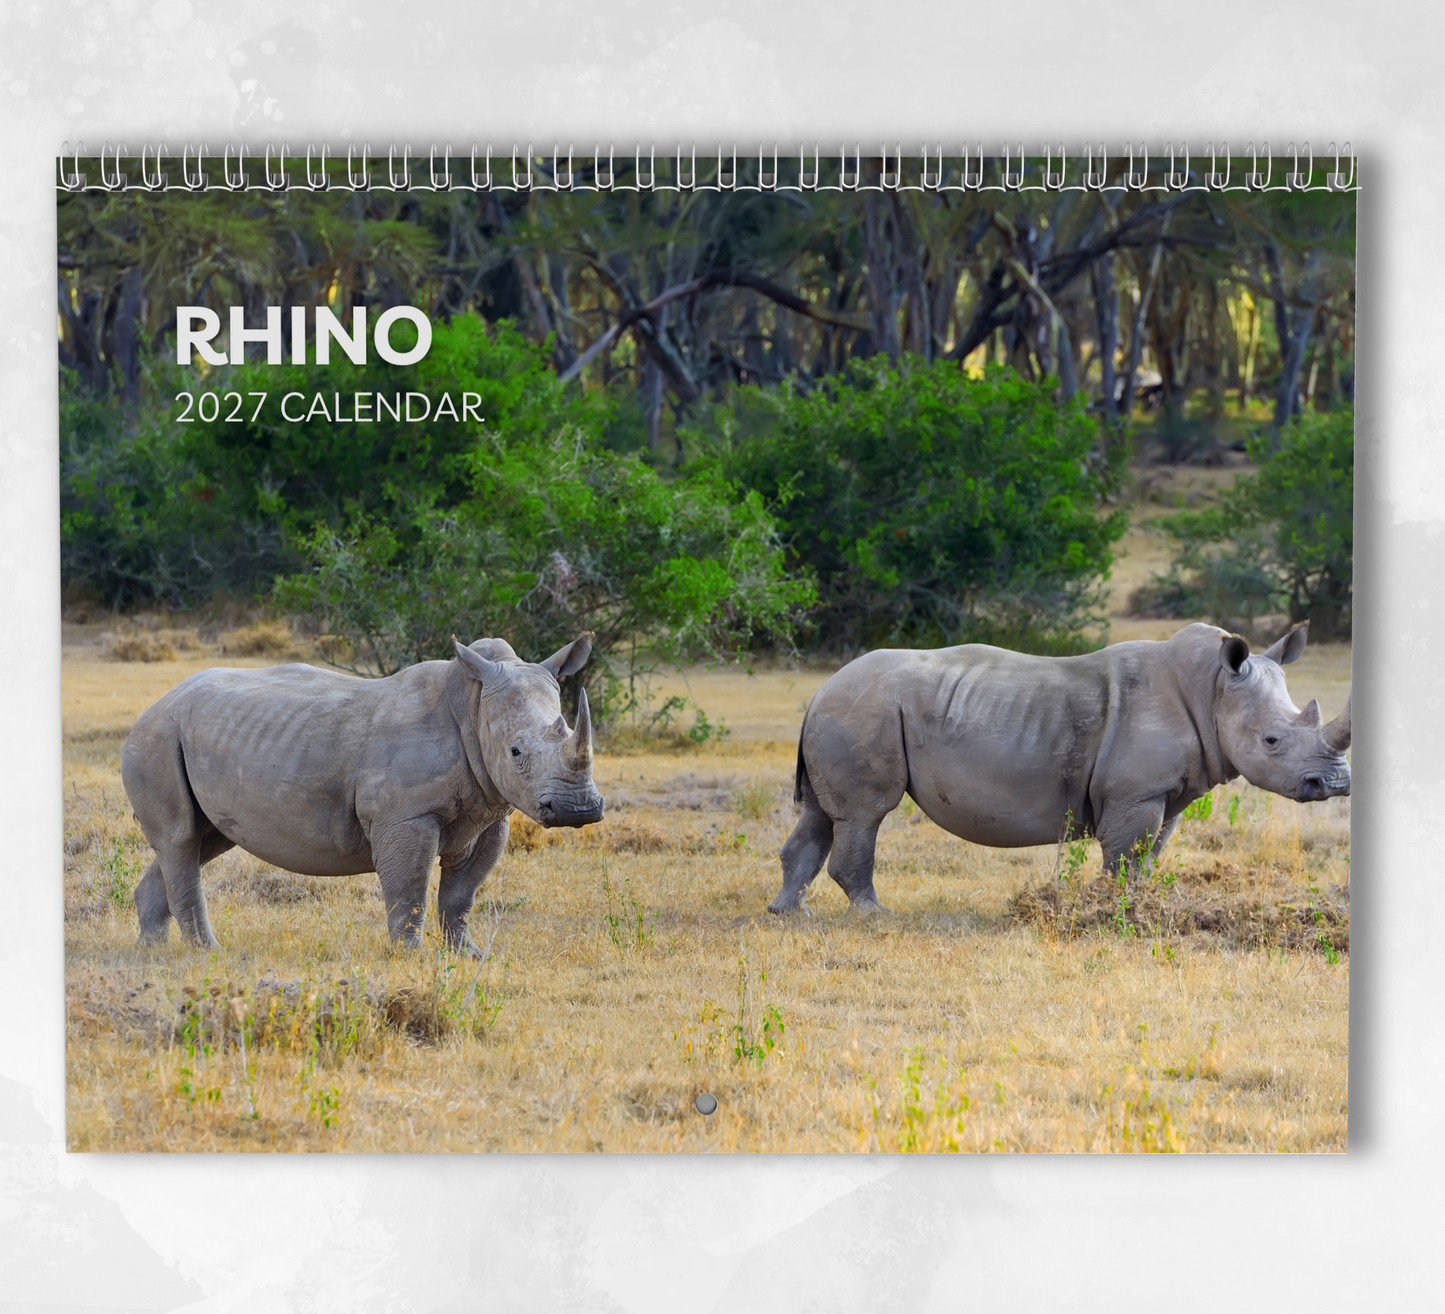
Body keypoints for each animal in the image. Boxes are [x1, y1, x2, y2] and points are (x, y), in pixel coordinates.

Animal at [120, 635, 603, 953]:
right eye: (516, 752)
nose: (577, 809)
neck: (472, 704)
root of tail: (157, 703)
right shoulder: (406, 817)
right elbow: (409, 889)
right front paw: (411, 956)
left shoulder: (490, 814)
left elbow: (461, 894)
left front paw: (467, 955)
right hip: (156, 737)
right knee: (181, 839)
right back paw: (208, 953)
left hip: (189, 737)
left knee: (203, 839)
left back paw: (152, 952)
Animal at [768, 622, 1351, 915]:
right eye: (1272, 741)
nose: (1337, 783)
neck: (1212, 691)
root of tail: (819, 692)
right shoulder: (1135, 792)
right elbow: (1126, 855)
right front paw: (1115, 914)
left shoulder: (1168, 792)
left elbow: (1150, 854)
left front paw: (1142, 906)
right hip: (864, 712)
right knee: (866, 814)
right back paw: (873, 916)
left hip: (846, 712)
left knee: (822, 814)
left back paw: (789, 914)